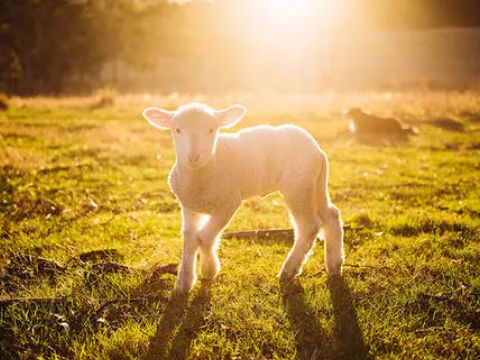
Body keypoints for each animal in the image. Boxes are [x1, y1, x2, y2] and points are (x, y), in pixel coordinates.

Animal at [142, 102, 344, 294]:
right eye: (177, 129)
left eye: (211, 129)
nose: (193, 157)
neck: (208, 167)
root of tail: (317, 149)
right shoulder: (189, 206)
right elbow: (190, 237)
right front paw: (184, 282)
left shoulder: (228, 202)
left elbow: (204, 237)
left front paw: (209, 270)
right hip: (315, 184)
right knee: (331, 215)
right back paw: (335, 265)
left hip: (298, 187)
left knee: (309, 226)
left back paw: (289, 270)